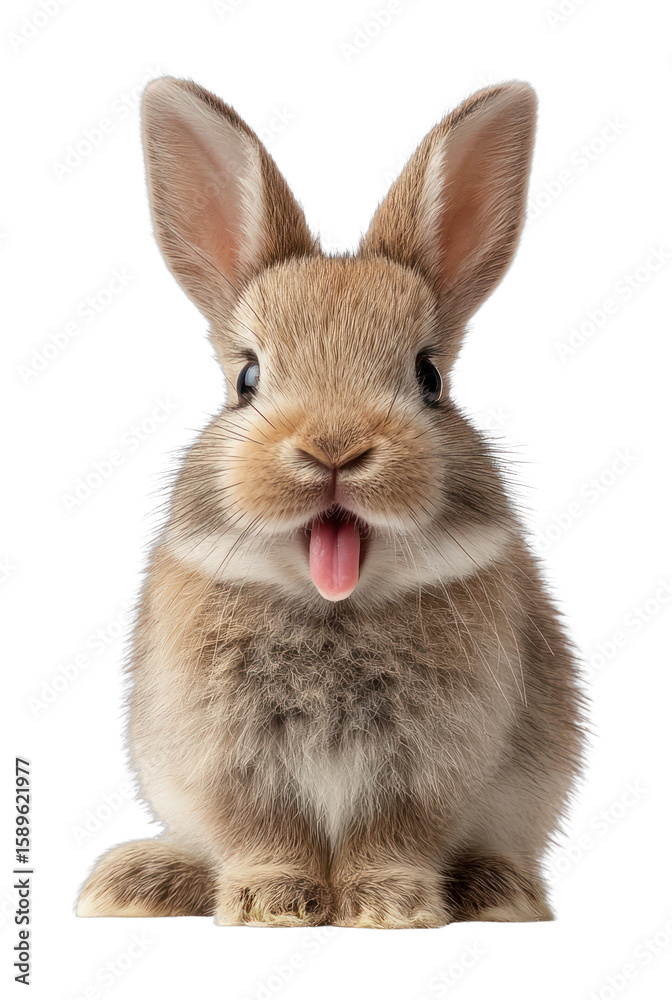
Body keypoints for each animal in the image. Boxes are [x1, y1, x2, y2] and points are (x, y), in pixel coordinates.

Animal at [75, 77, 585, 927]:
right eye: (247, 379)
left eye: (430, 378)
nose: (334, 449)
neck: (333, 603)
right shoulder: (232, 766)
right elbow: (263, 831)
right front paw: (272, 901)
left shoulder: (430, 768)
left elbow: (397, 832)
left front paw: (388, 904)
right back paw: (137, 881)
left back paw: (500, 890)